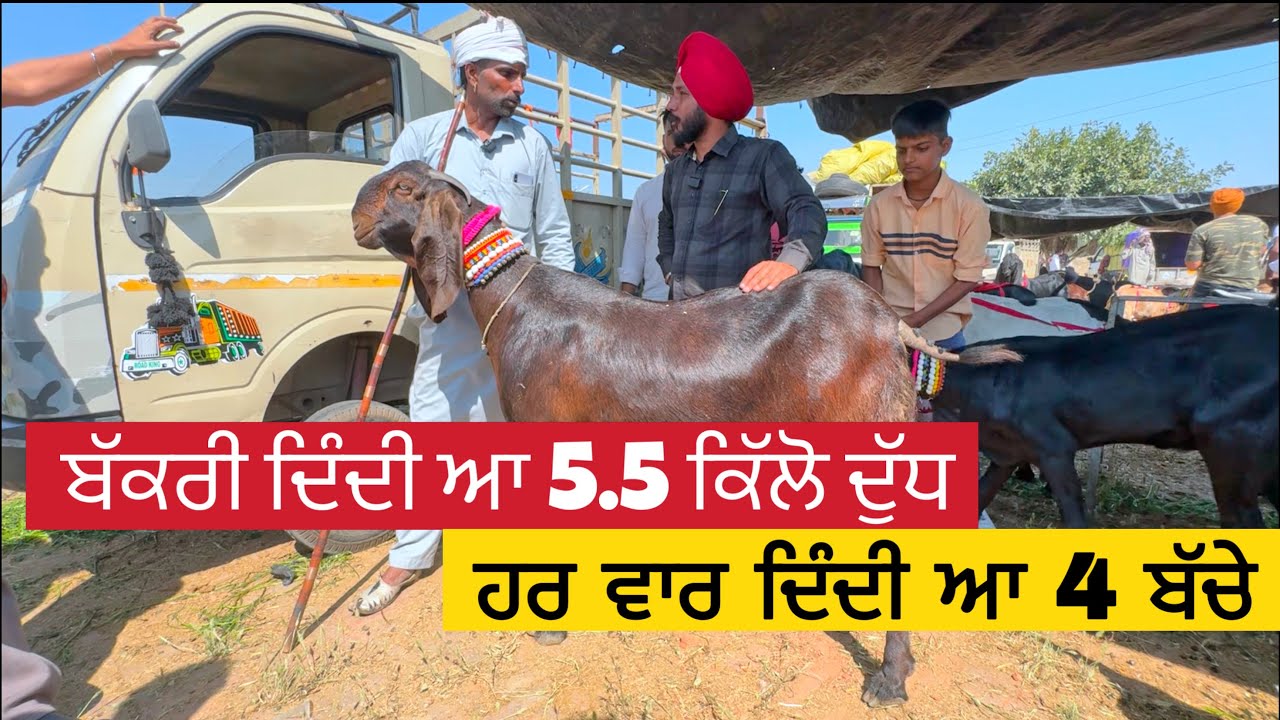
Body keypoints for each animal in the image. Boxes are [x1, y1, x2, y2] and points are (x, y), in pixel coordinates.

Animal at [350, 160, 1019, 708]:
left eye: (405, 188)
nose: (354, 210)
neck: (517, 303)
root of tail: (891, 326)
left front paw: (549, 626)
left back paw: (890, 678)